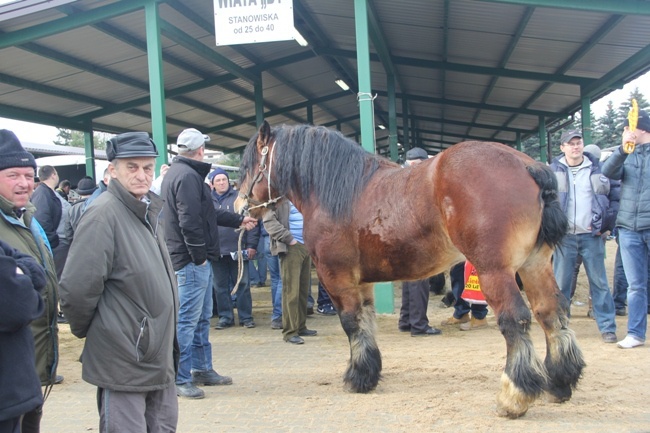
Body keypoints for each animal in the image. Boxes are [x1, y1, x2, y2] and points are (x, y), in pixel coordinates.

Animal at [235, 120, 584, 416]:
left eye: (247, 165)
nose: (240, 207)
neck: (339, 192)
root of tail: (529, 165)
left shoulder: (337, 277)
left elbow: (351, 323)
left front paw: (357, 377)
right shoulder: (362, 282)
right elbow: (366, 321)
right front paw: (370, 373)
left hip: (495, 271)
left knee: (516, 320)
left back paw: (514, 396)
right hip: (534, 265)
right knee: (550, 312)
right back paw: (560, 382)